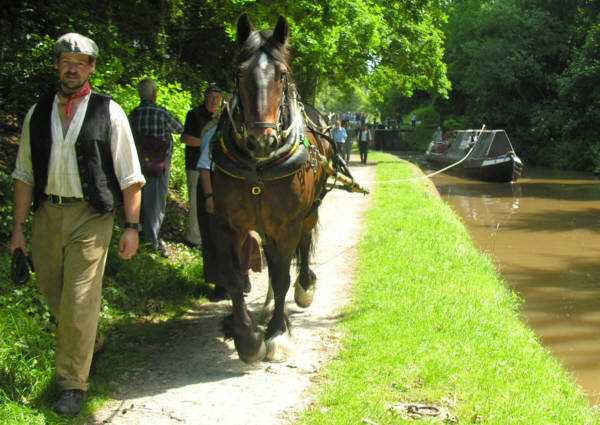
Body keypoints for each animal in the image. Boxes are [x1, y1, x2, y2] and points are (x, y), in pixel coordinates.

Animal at [209, 13, 336, 362]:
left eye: (281, 74)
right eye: (239, 73)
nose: (261, 140)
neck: (258, 167)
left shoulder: (288, 224)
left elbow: (281, 278)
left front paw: (277, 333)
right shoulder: (227, 225)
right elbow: (234, 278)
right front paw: (247, 336)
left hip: (308, 212)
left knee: (303, 246)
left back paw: (304, 287)